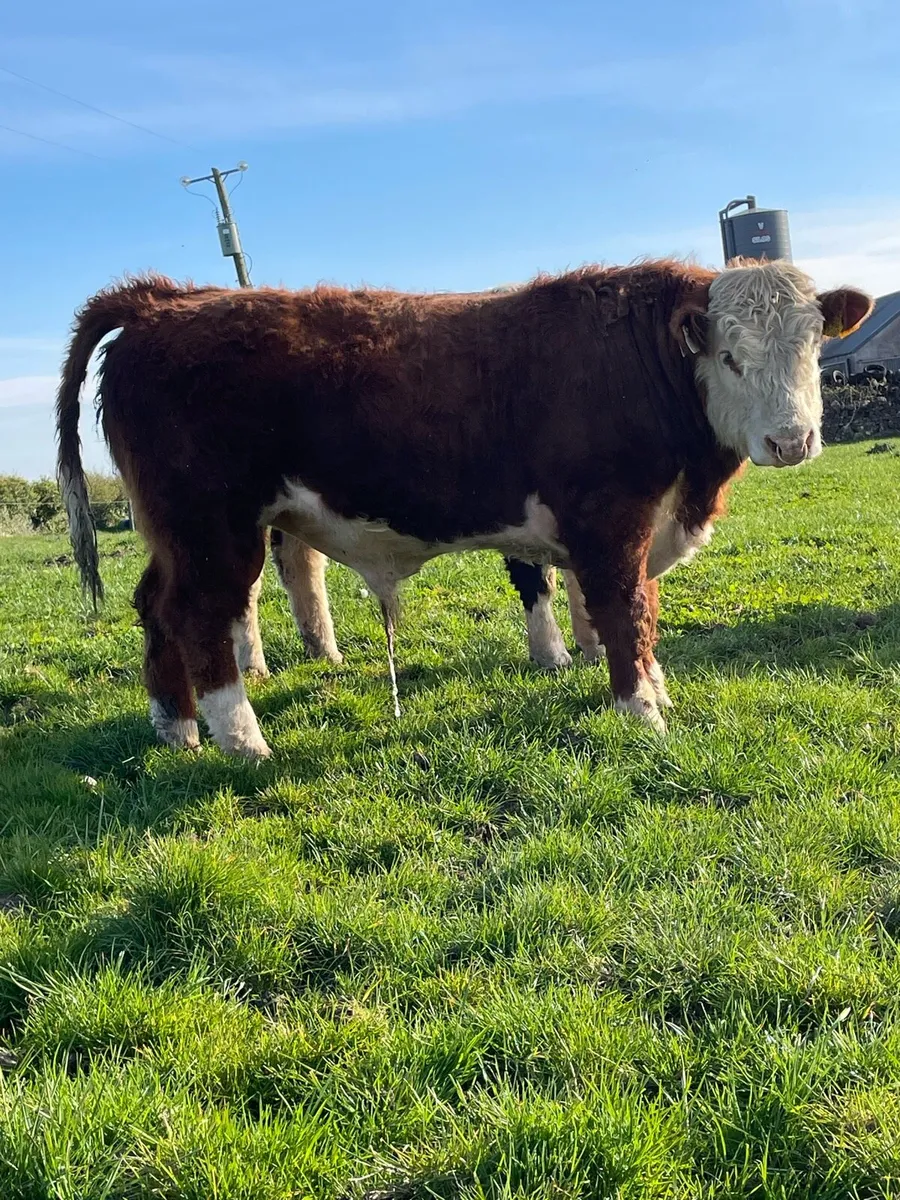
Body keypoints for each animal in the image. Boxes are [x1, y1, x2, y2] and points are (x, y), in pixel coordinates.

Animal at [56, 258, 873, 758]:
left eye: (810, 347)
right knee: (198, 617)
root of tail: (167, 300)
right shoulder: (611, 521)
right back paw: (242, 740)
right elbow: (623, 609)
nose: (792, 440)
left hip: (177, 534)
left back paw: (177, 728)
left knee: (155, 607)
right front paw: (642, 711)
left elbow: (627, 609)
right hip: (211, 527)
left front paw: (649, 688)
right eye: (731, 358)